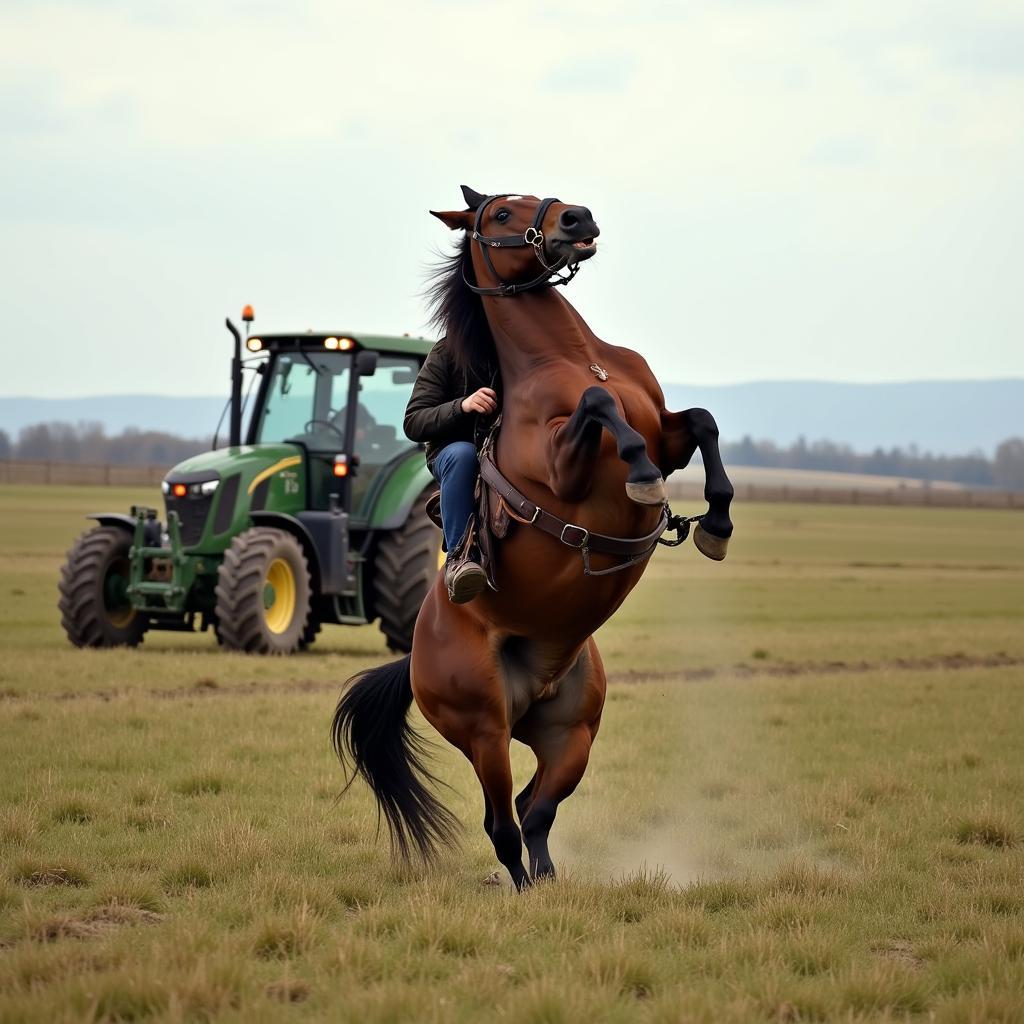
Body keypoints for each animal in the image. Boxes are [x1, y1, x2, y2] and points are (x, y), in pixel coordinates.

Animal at [331, 186, 733, 888]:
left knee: (534, 809)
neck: (571, 355)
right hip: (485, 733)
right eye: (497, 213)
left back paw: (547, 882)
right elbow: (600, 407)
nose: (577, 218)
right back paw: (522, 888)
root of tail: (414, 656)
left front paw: (717, 522)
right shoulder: (564, 466)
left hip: (571, 732)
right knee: (502, 824)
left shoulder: (669, 429)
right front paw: (644, 480)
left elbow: (702, 421)